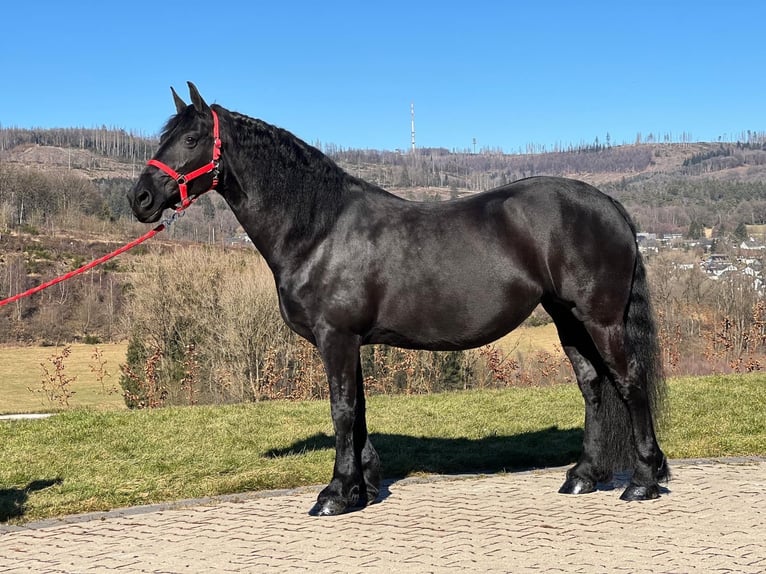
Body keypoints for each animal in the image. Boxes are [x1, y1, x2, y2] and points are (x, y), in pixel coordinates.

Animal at [128, 82, 669, 516]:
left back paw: (643, 480)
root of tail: (609, 204)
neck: (319, 229)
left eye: (191, 139)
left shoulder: (336, 337)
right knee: (593, 384)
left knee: (628, 381)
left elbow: (342, 409)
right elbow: (359, 410)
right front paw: (363, 487)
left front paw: (335, 494)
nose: (140, 199)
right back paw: (584, 475)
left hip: (601, 319)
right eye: (164, 137)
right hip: (566, 317)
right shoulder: (350, 341)